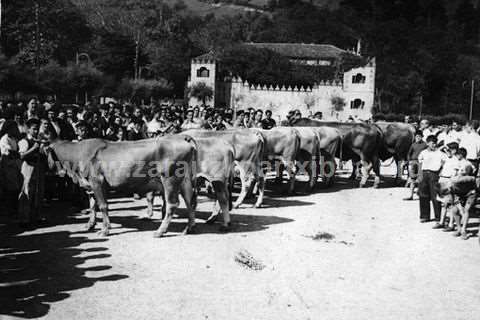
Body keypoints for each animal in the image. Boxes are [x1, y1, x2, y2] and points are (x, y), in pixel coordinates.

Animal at [47, 135, 199, 238]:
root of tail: (181, 137)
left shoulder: (97, 181)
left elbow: (102, 206)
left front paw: (105, 230)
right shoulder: (90, 185)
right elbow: (92, 205)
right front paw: (90, 224)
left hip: (169, 178)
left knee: (172, 204)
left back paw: (160, 231)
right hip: (185, 180)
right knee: (189, 201)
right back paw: (189, 228)